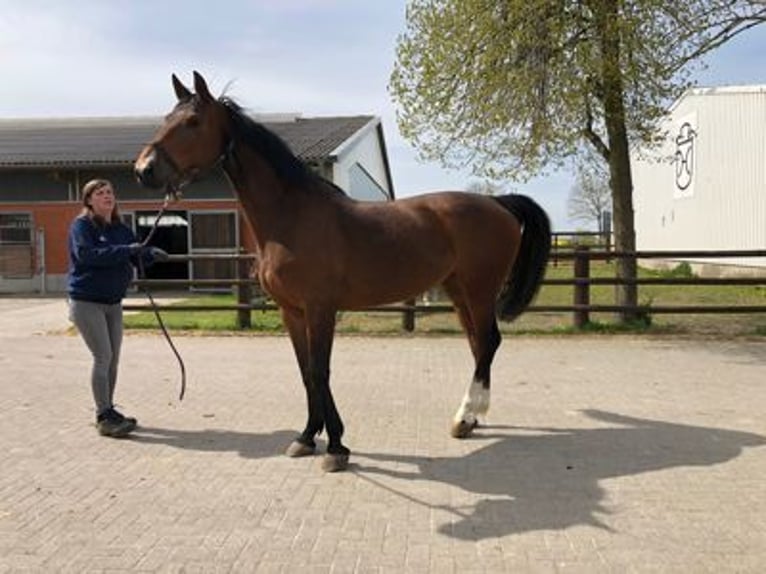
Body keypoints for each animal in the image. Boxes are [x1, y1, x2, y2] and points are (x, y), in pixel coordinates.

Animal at [134, 72, 552, 474]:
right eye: (166, 118)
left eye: (192, 121)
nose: (143, 169)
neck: (292, 217)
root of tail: (497, 202)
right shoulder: (292, 311)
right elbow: (305, 372)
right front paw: (306, 436)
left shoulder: (321, 308)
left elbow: (321, 372)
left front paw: (336, 446)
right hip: (458, 290)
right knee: (479, 345)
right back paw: (470, 419)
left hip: (480, 290)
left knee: (489, 341)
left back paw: (467, 414)